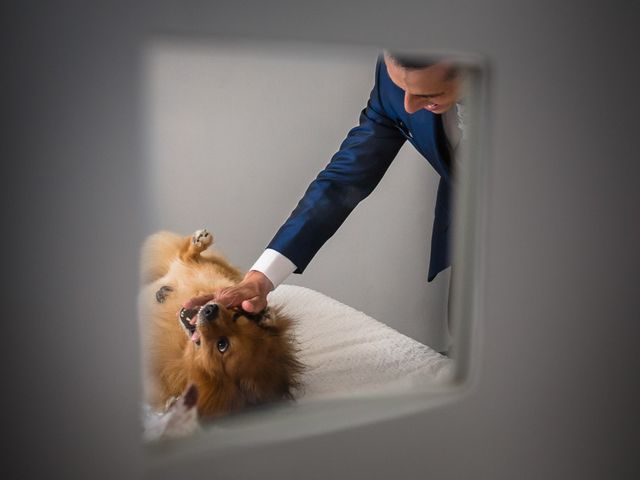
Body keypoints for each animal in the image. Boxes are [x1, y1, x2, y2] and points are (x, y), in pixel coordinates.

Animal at [138, 227, 302, 418]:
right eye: (236, 316)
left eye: (222, 345)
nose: (210, 310)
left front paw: (172, 405)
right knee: (188, 257)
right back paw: (199, 241)